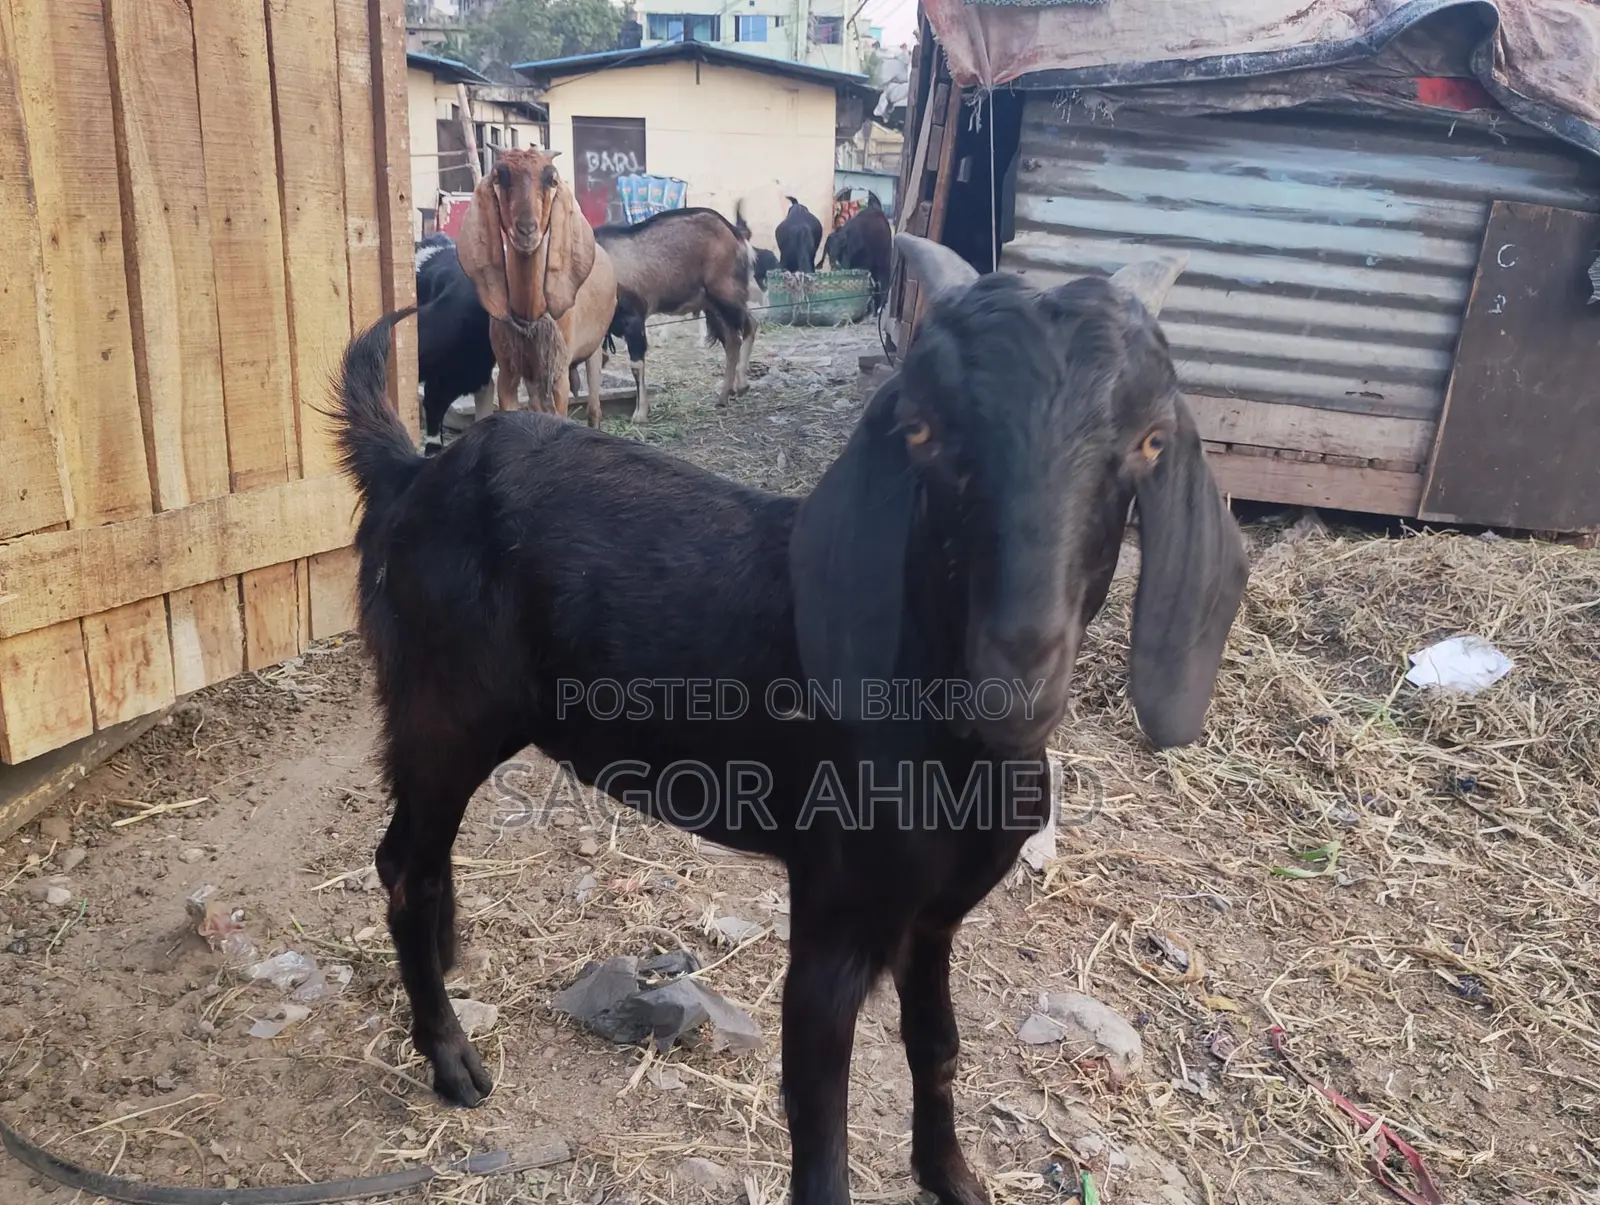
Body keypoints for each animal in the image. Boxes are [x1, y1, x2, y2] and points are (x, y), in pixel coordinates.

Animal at [457, 148, 617, 427]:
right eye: (499, 176)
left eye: (552, 180)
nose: (526, 230)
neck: (531, 313)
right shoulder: (508, 371)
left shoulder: (558, 373)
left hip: (593, 348)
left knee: (594, 407)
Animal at [596, 205, 758, 420]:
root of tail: (735, 233)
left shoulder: (633, 319)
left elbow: (636, 365)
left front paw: (640, 413)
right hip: (713, 305)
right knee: (734, 338)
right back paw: (728, 393)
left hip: (726, 293)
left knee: (748, 327)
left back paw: (736, 388)